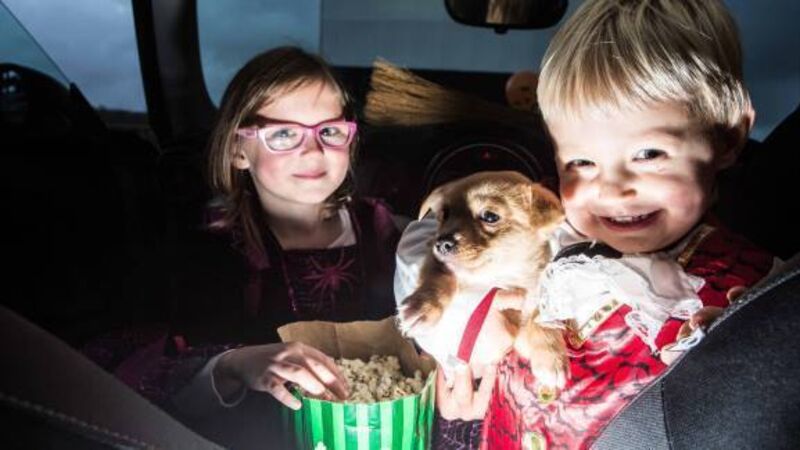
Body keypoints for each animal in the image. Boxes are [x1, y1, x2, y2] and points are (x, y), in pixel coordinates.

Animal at [397, 171, 568, 390]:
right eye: (444, 215)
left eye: (490, 216)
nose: (442, 243)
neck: (497, 276)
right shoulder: (436, 259)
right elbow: (441, 278)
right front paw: (422, 308)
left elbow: (539, 316)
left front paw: (550, 356)